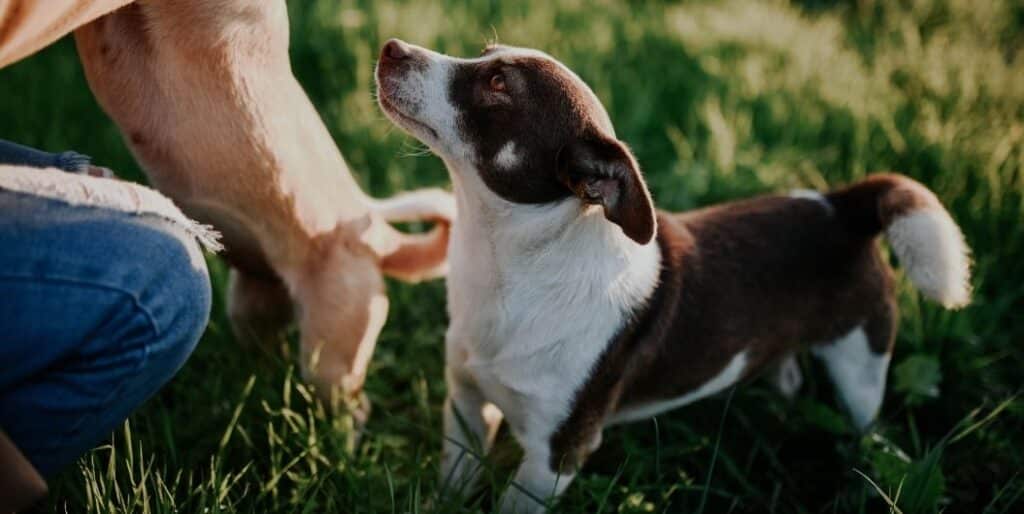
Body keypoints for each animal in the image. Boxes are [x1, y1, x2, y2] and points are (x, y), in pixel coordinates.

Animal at [372, 38, 970, 511]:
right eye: (483, 53)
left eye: (497, 83)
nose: (391, 47)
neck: (508, 268)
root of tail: (844, 205)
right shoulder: (466, 403)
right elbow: (453, 479)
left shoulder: (553, 457)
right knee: (789, 376)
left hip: (860, 366)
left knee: (866, 428)